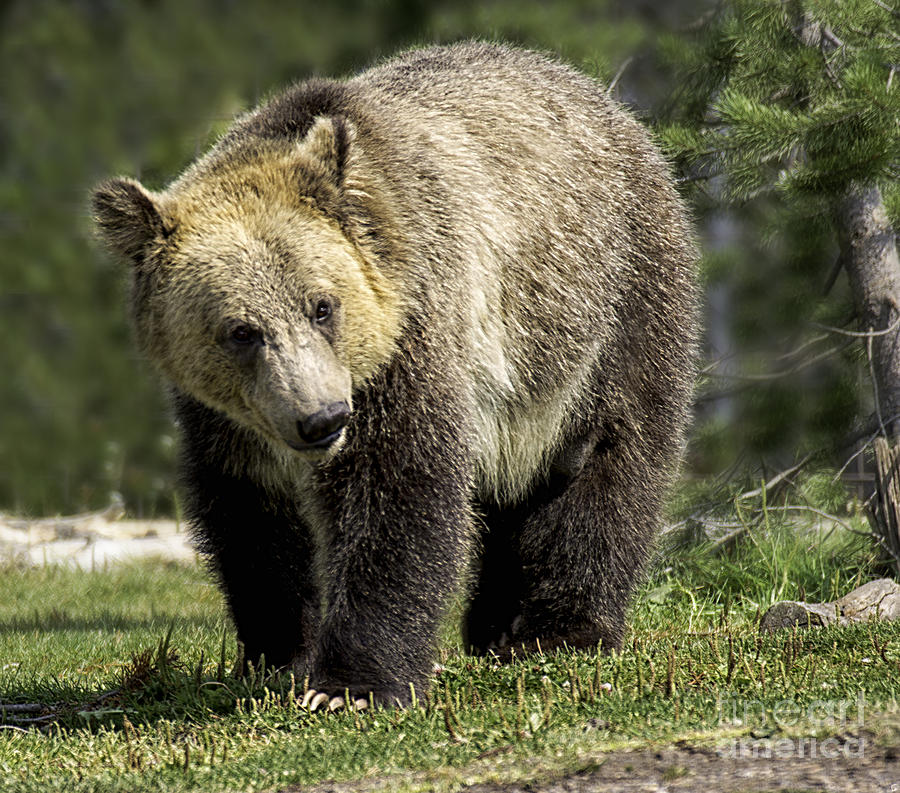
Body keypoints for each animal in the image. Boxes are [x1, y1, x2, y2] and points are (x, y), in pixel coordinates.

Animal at [91, 41, 696, 712]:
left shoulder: (413, 337)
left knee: (608, 453)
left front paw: (351, 685)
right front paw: (278, 653)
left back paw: (559, 629)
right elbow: (250, 514)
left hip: (605, 301)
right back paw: (492, 625)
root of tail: (605, 100)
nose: (322, 418)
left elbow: (398, 490)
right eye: (241, 331)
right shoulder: (228, 420)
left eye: (322, 306)